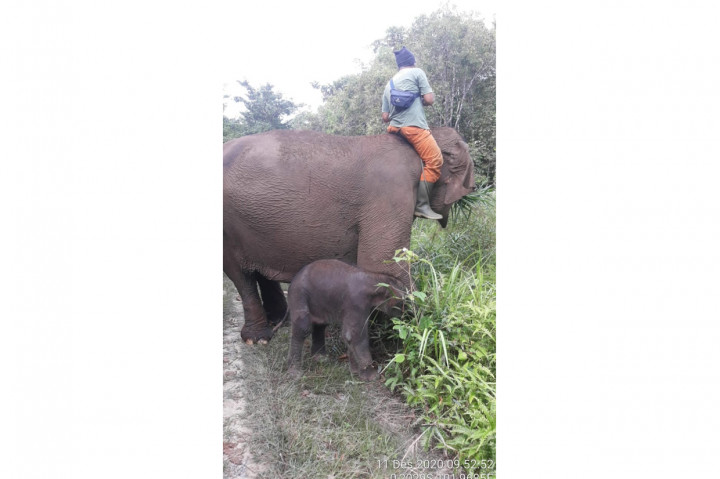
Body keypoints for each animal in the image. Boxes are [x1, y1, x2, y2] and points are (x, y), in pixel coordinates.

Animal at [223, 127, 475, 343]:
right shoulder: (391, 190)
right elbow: (384, 268)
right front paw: (430, 327)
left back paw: (281, 321)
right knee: (241, 277)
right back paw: (258, 338)